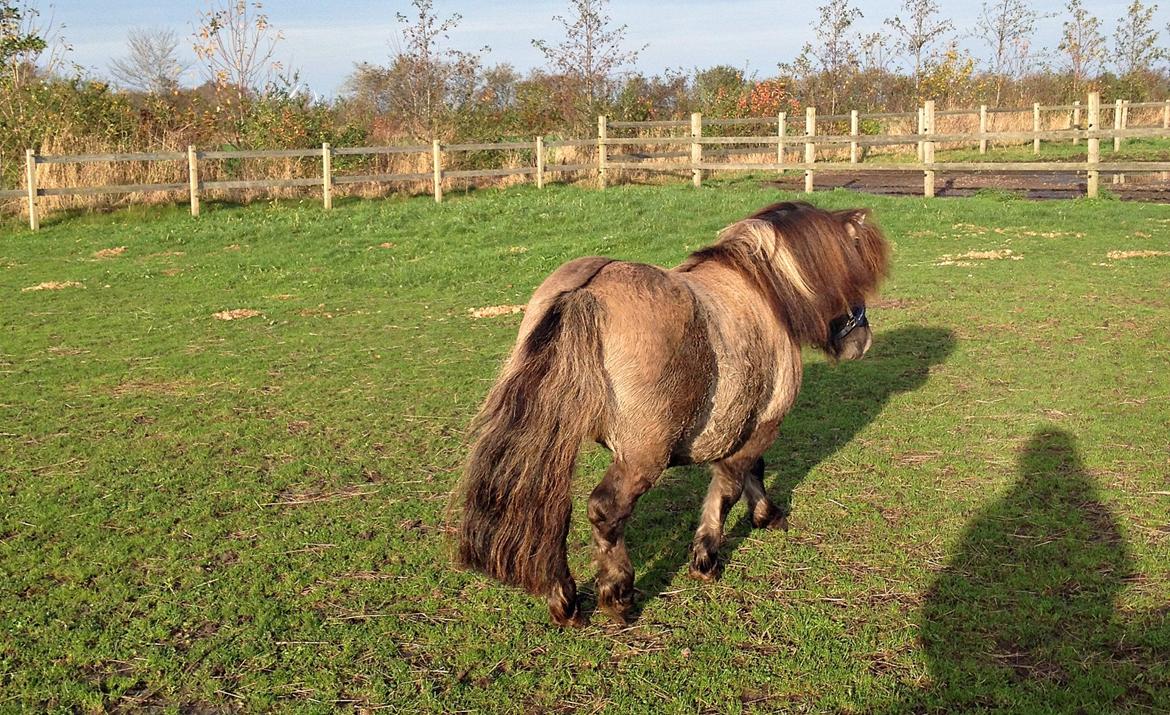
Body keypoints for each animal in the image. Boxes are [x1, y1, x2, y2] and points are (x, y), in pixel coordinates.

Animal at [453, 201, 884, 627]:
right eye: (853, 277)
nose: (863, 341)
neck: (763, 291)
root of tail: (583, 294)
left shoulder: (745, 425)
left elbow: (750, 473)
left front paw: (765, 514)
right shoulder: (764, 423)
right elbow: (730, 486)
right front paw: (709, 556)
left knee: (552, 509)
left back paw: (566, 603)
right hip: (641, 456)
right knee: (605, 511)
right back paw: (618, 596)